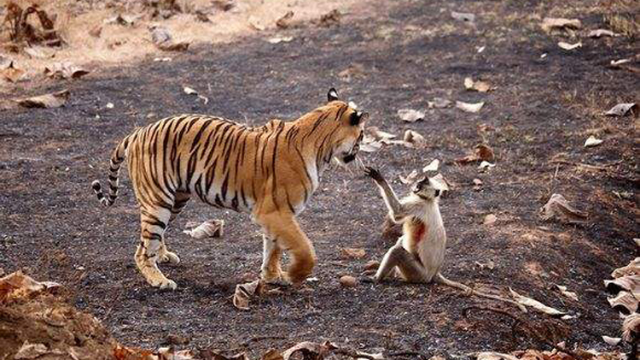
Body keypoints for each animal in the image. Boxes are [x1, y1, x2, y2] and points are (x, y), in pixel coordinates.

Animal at [92, 89, 368, 290]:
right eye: (362, 135)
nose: (359, 156)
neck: (321, 146)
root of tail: (138, 132)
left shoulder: (276, 215)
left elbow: (273, 248)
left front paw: (272, 276)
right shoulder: (275, 211)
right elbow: (303, 247)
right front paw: (295, 274)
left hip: (175, 199)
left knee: (153, 238)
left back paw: (164, 256)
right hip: (158, 201)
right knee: (142, 250)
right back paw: (159, 280)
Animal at [364, 167, 524, 310]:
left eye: (422, 184)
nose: (416, 187)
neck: (429, 200)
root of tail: (434, 273)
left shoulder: (419, 204)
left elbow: (397, 214)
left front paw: (378, 178)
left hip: (419, 274)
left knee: (397, 252)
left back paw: (376, 278)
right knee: (400, 242)